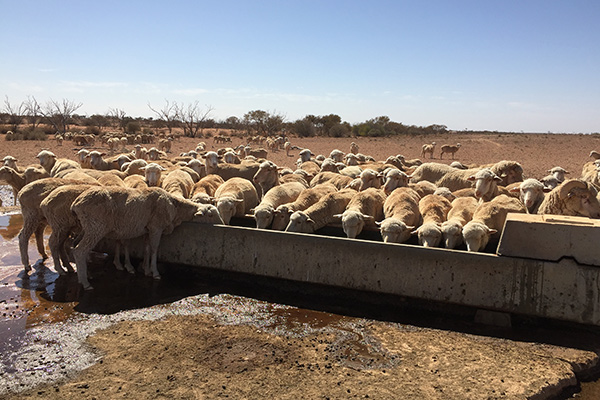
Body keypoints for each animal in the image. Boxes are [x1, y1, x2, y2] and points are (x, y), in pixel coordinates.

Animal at [71, 186, 223, 290]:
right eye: (211, 215)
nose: (223, 224)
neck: (175, 207)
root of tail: (76, 203)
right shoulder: (156, 227)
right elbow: (155, 249)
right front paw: (155, 272)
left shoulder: (147, 229)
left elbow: (147, 249)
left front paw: (146, 269)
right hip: (95, 228)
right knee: (80, 251)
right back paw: (85, 282)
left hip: (84, 227)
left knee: (74, 246)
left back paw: (83, 275)